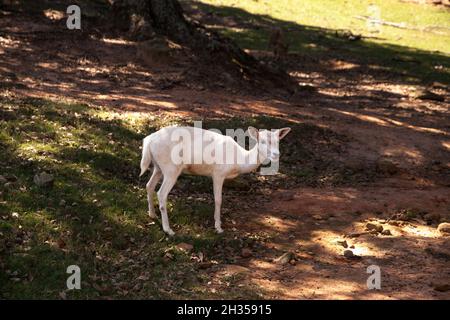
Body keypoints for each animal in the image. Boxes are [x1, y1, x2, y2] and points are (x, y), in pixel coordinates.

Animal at [139, 125, 290, 235]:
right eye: (262, 141)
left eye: (278, 141)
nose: (276, 154)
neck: (239, 161)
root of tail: (148, 141)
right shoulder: (218, 173)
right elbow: (218, 199)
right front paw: (218, 227)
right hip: (171, 168)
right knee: (161, 193)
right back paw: (168, 230)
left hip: (158, 167)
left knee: (149, 185)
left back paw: (152, 215)